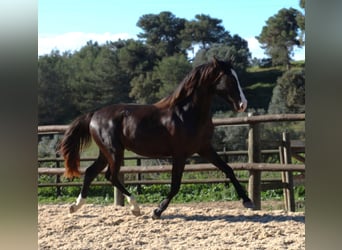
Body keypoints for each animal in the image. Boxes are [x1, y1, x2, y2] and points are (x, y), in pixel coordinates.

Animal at [59, 56, 254, 219]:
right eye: (231, 79)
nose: (243, 104)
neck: (187, 113)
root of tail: (94, 114)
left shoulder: (204, 148)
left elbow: (228, 169)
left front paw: (247, 201)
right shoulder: (180, 154)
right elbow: (175, 185)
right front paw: (157, 211)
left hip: (105, 153)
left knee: (91, 172)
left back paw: (75, 206)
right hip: (114, 152)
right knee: (111, 176)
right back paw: (135, 207)